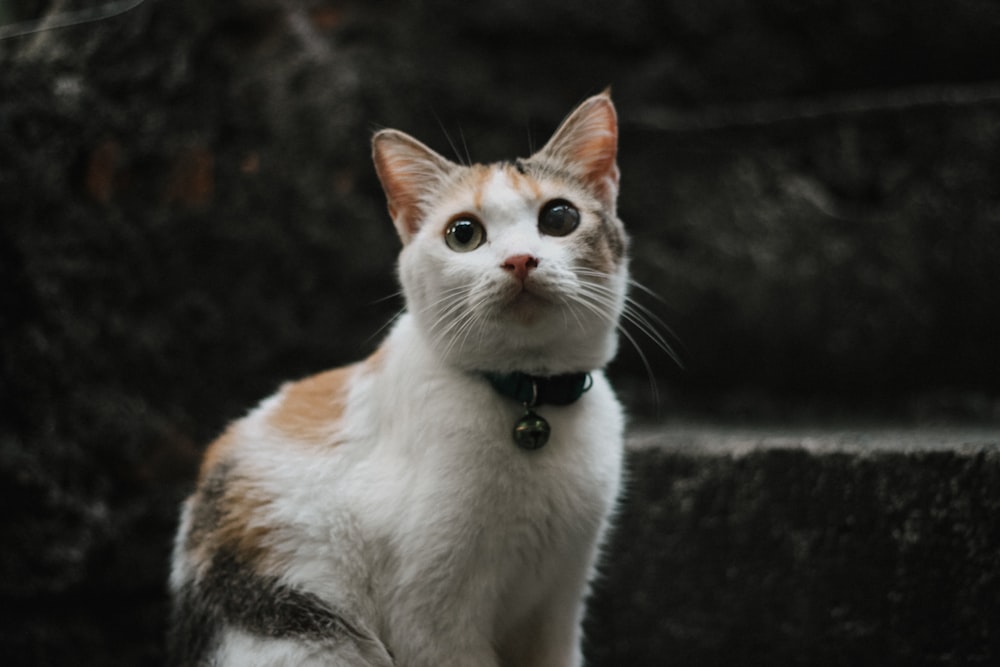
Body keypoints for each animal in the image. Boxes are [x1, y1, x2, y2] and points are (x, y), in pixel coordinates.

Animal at [169, 90, 628, 667]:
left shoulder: (559, 599)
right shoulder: (431, 616)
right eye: (463, 234)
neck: (532, 398)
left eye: (560, 217)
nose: (521, 259)